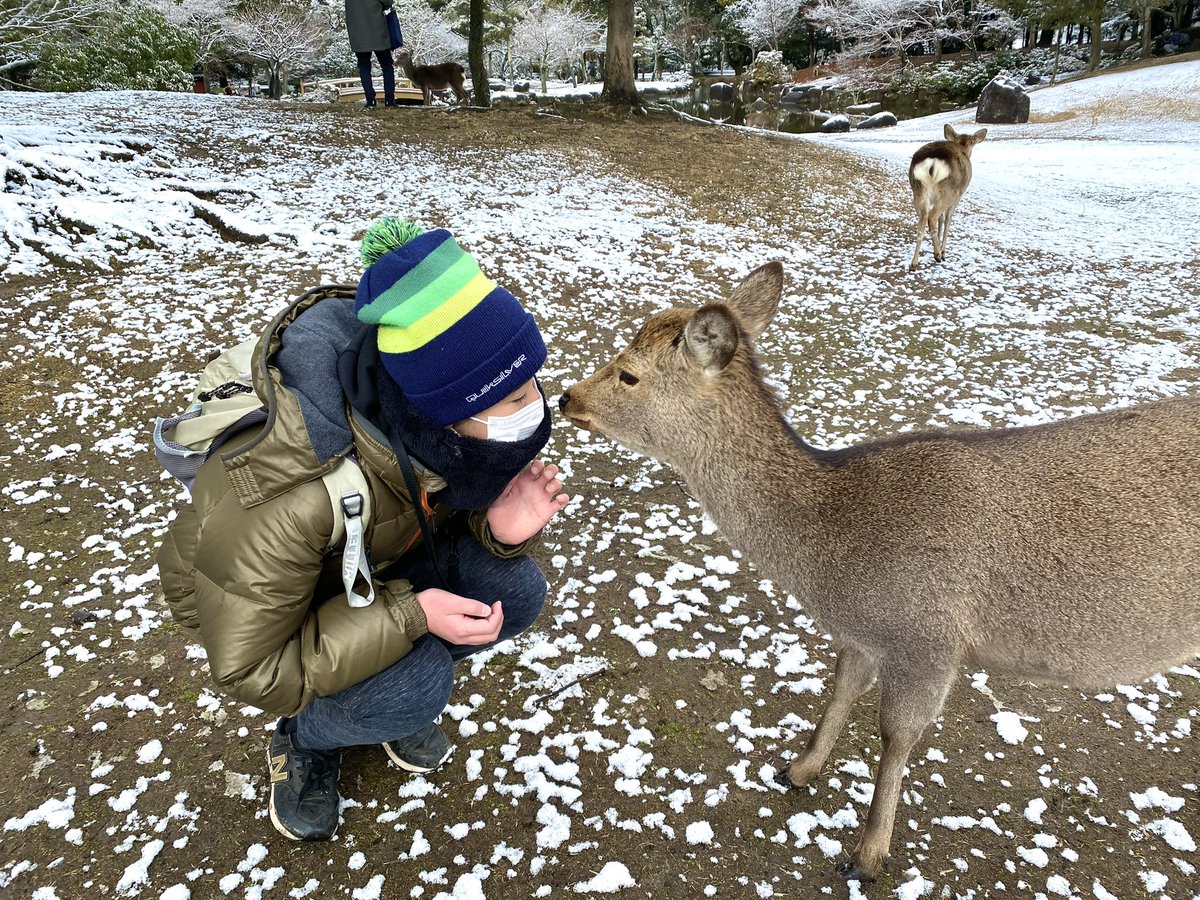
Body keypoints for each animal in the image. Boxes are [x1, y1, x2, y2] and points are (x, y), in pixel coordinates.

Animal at [558, 261, 1200, 882]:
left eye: (628, 375)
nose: (566, 398)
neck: (835, 560)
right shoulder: (863, 634)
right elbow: (842, 684)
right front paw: (798, 769)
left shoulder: (928, 640)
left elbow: (897, 735)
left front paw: (866, 856)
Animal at [909, 124, 987, 271]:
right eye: (973, 142)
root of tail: (933, 160)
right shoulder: (958, 197)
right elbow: (948, 219)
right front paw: (944, 250)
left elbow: (941, 219)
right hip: (949, 191)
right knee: (932, 216)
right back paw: (938, 254)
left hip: (918, 190)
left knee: (923, 218)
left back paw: (914, 263)